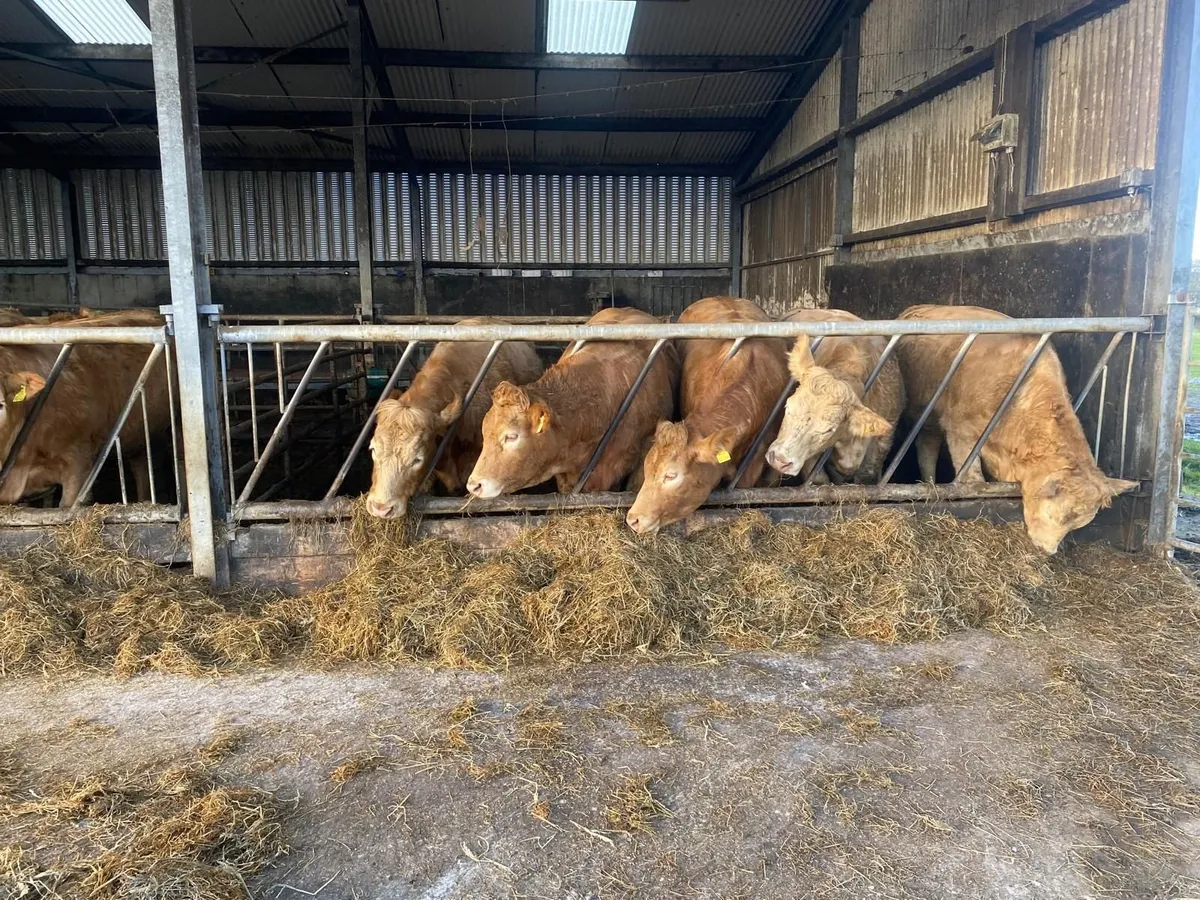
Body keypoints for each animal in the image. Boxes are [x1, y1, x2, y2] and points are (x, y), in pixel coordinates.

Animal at [897, 304, 1137, 554]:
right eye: (1062, 515)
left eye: (1079, 523)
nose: (1048, 551)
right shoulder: (961, 429)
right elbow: (973, 479)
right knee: (926, 446)